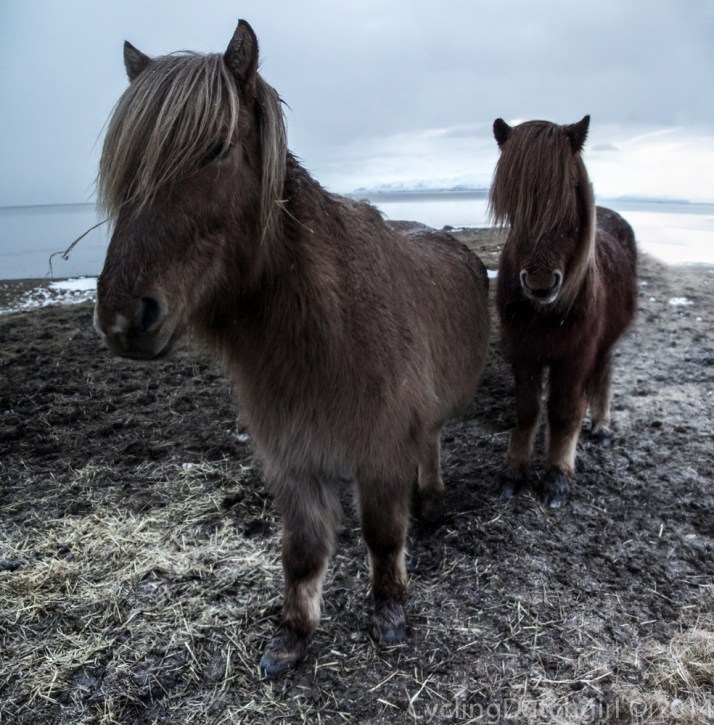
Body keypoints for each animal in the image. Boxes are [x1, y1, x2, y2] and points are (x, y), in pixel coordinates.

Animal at [94, 19, 491, 676]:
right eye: (125, 170)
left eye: (216, 149)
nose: (124, 318)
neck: (327, 330)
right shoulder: (292, 456)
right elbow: (302, 551)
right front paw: (292, 635)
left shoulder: (381, 449)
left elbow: (384, 532)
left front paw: (389, 610)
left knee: (430, 445)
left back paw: (431, 498)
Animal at [489, 115, 637, 508]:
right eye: (513, 198)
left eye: (570, 190)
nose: (540, 283)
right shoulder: (522, 352)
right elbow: (528, 409)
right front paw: (514, 472)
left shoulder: (576, 355)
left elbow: (564, 410)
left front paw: (557, 476)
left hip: (604, 345)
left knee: (603, 376)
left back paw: (601, 426)